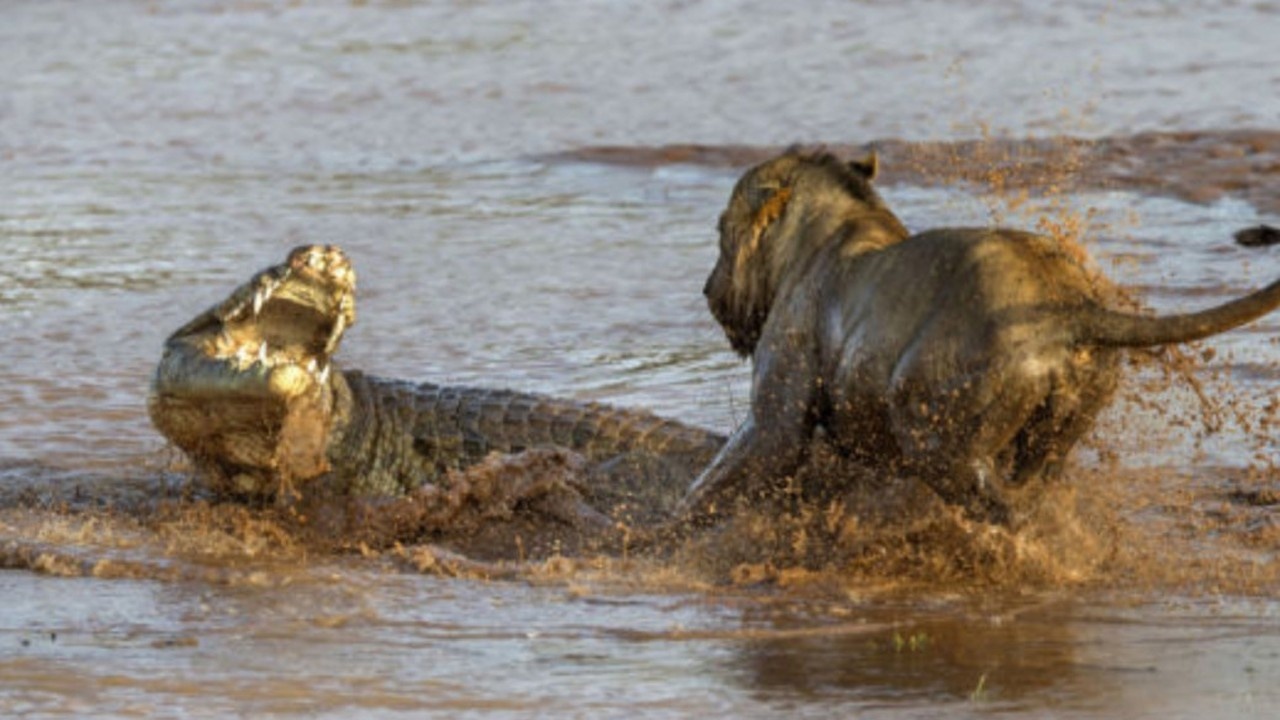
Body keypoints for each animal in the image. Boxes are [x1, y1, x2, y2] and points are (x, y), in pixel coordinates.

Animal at [680, 148, 1280, 525]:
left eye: (721, 232)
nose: (706, 287)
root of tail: (1069, 309)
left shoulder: (777, 416)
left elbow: (716, 480)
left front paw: (669, 531)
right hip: (1056, 429)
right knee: (1032, 492)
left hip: (932, 429)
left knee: (999, 507)